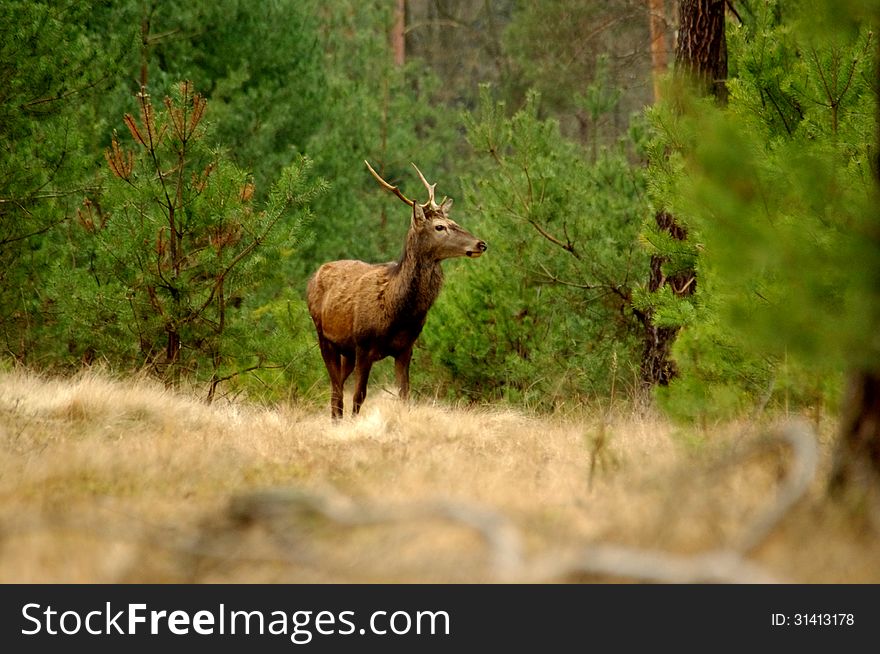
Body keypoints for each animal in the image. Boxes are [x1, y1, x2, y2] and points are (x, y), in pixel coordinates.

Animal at [306, 161, 488, 422]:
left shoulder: (405, 348)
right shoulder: (364, 346)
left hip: (346, 351)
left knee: (336, 386)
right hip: (324, 337)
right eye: (440, 227)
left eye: (453, 222)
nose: (481, 244)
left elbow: (405, 396)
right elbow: (359, 396)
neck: (397, 312)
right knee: (336, 389)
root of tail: (313, 277)